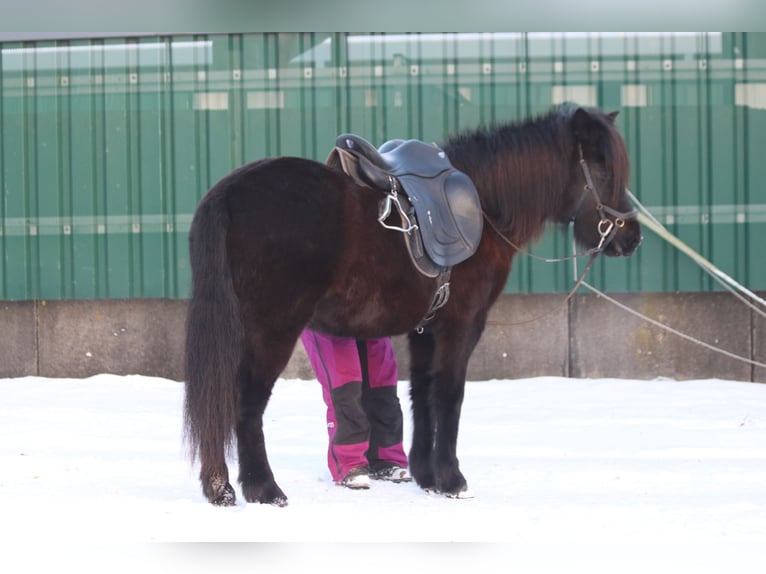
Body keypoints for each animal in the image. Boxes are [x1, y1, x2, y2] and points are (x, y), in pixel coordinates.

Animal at [183, 105, 642, 506]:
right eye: (603, 171)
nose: (631, 236)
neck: (485, 207)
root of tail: (229, 190)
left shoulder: (426, 328)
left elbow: (421, 394)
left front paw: (427, 476)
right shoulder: (462, 324)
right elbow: (449, 395)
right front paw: (454, 480)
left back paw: (220, 488)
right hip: (272, 330)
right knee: (245, 403)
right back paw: (263, 489)